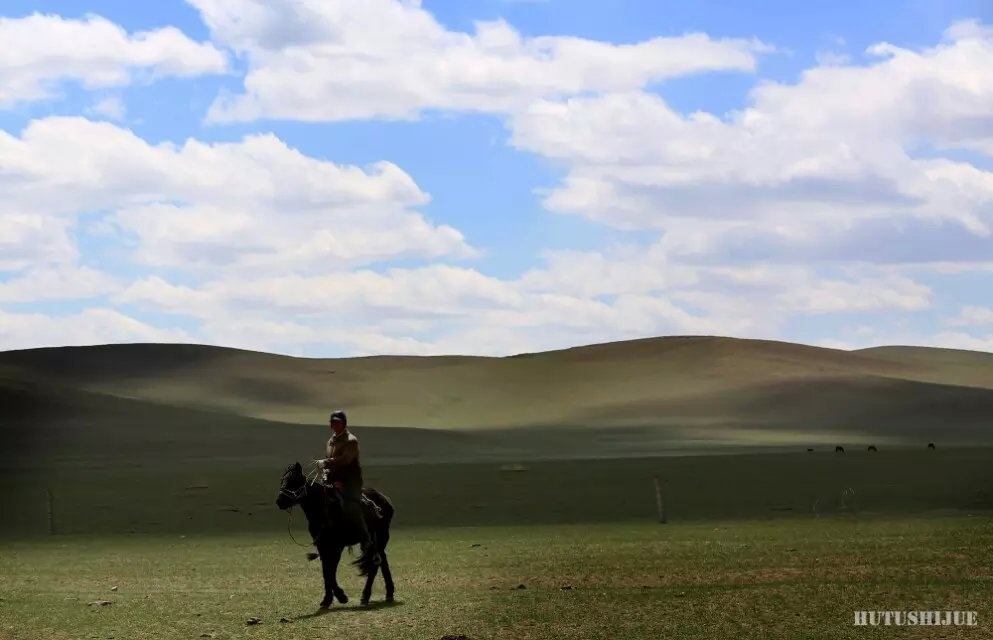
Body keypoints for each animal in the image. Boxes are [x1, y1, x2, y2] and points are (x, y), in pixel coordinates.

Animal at [276, 462, 396, 608]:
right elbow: (326, 571)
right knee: (382, 560)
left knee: (375, 564)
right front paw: (328, 599)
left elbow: (330, 571)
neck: (324, 510)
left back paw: (365, 596)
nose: (279, 501)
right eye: (282, 480)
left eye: (294, 481)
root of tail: (385, 499)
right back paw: (389, 593)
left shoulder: (337, 546)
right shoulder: (322, 545)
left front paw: (341, 596)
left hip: (380, 537)